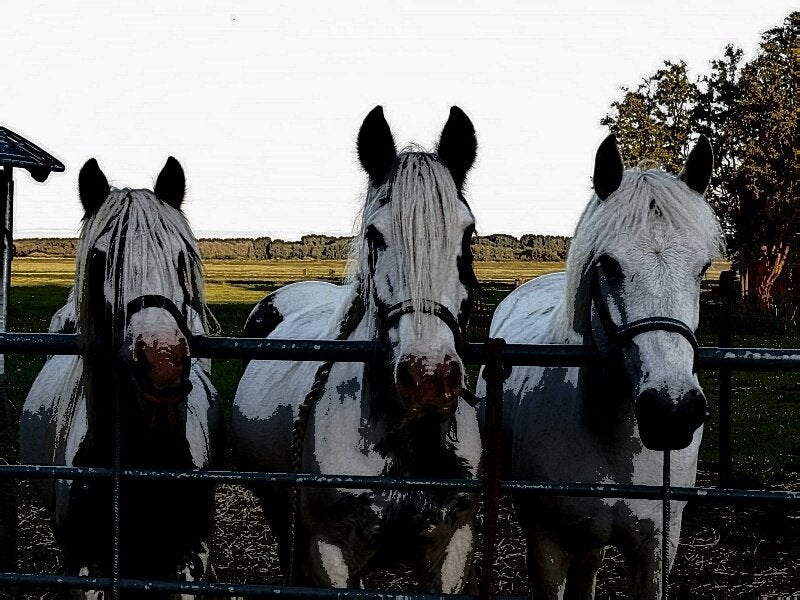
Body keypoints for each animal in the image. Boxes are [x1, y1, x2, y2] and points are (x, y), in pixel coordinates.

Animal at [481, 135, 720, 598]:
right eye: (608, 265)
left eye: (702, 269)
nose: (672, 411)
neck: (615, 439)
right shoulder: (547, 546)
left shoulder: (658, 547)